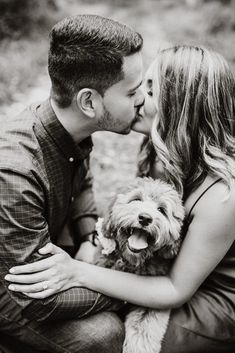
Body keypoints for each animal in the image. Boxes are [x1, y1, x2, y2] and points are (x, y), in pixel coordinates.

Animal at [95, 177, 184, 352]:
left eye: (162, 210)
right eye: (136, 199)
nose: (145, 218)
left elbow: (144, 327)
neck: (131, 262)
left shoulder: (154, 299)